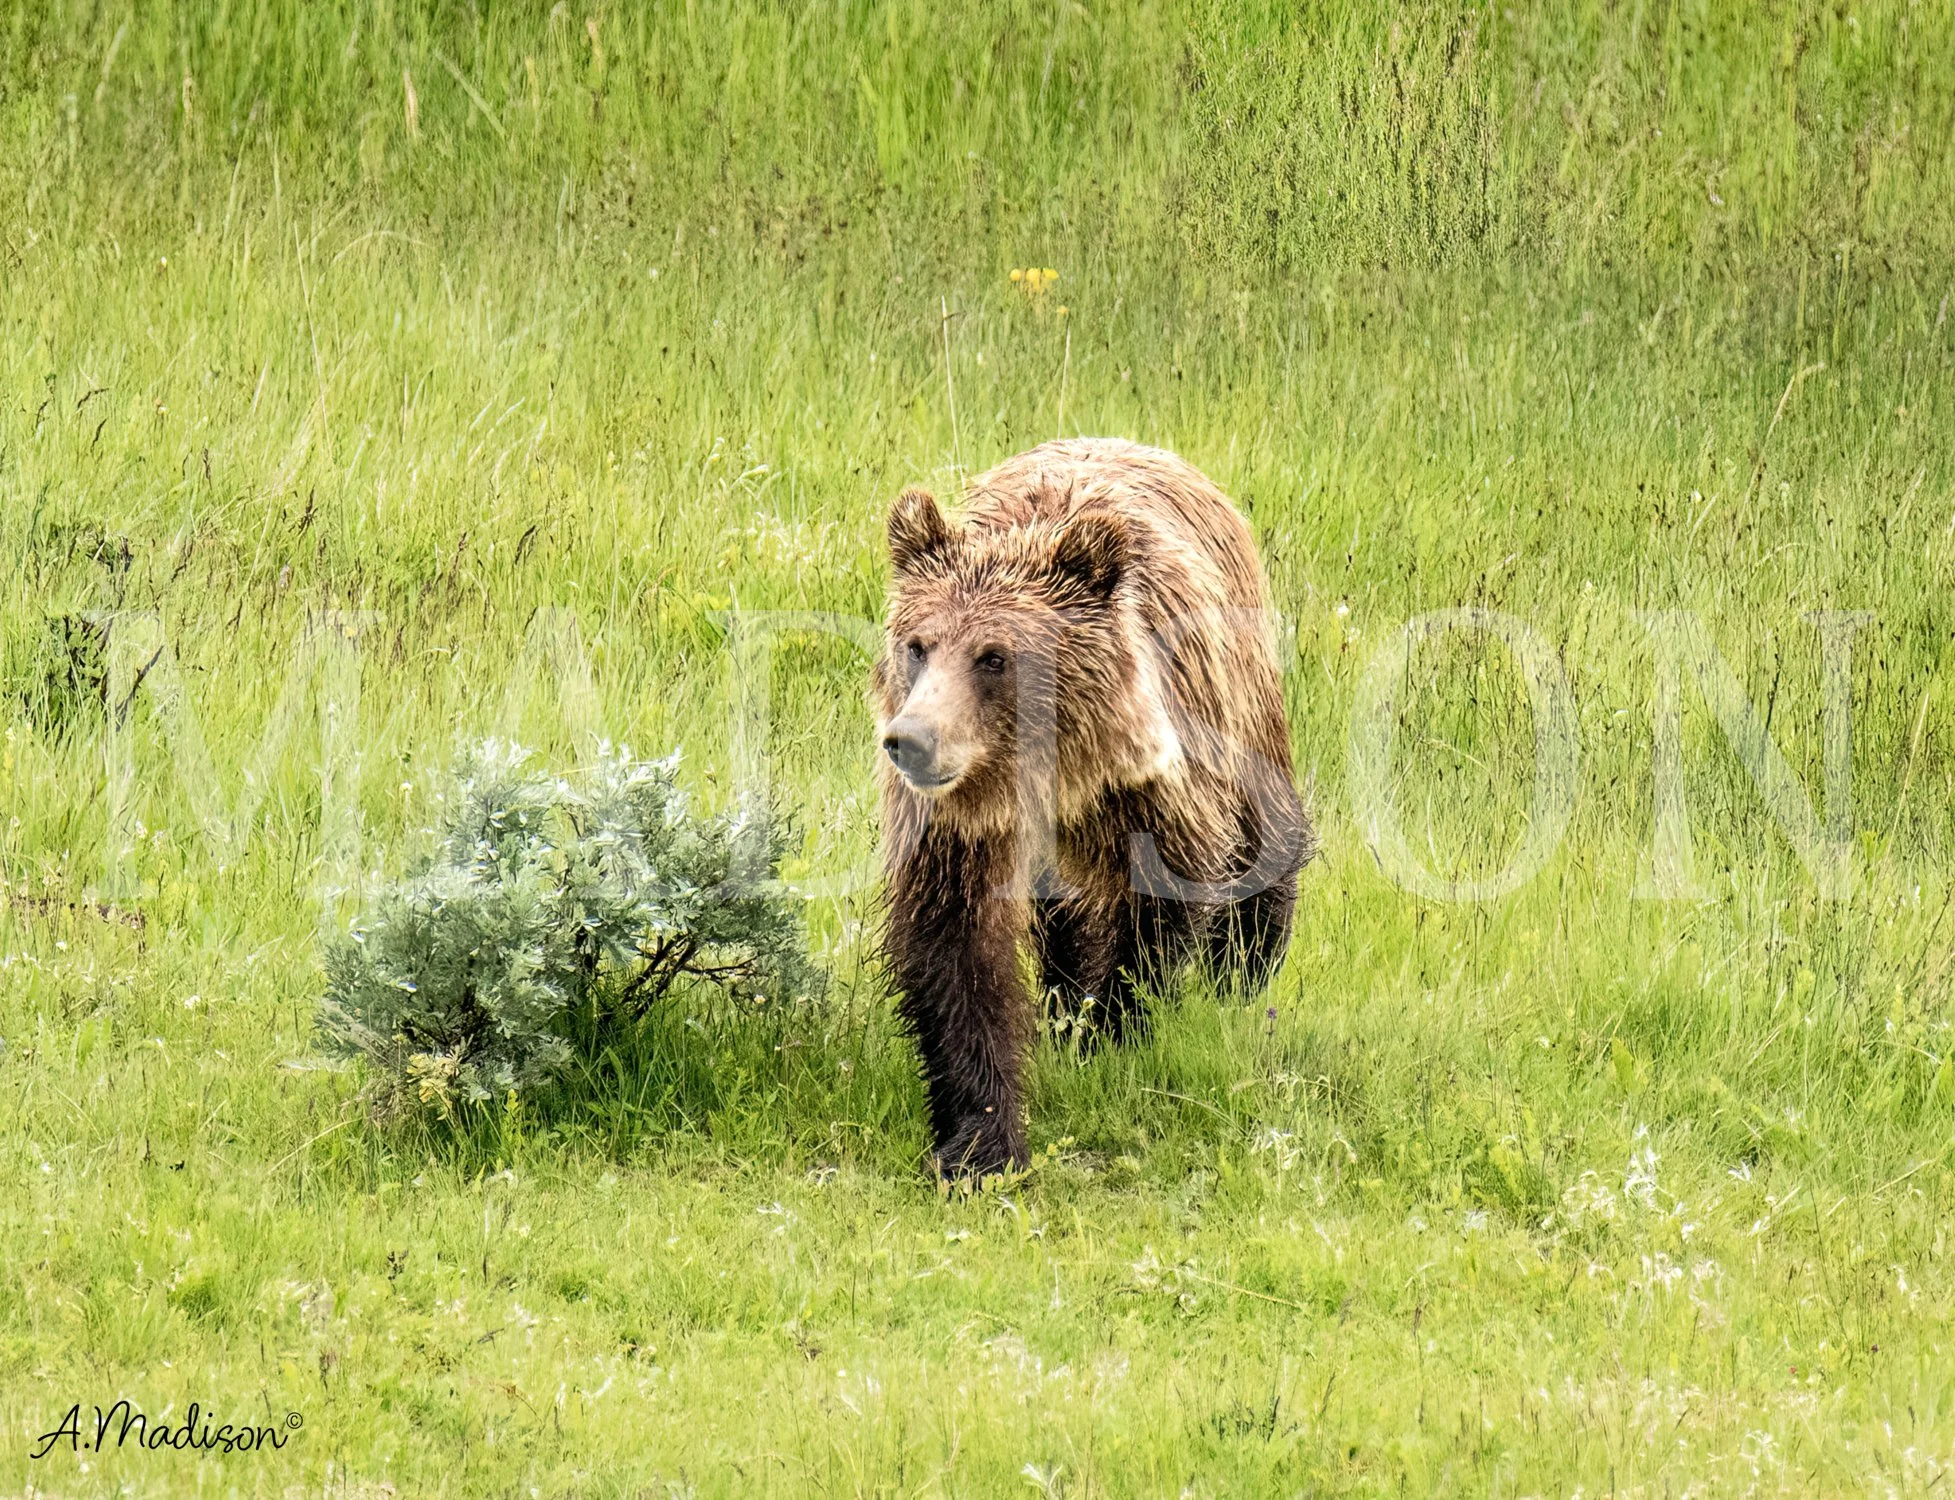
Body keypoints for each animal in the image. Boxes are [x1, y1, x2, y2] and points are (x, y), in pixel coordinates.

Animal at [873, 437, 1314, 1178]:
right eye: (917, 644)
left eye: (993, 656)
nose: (913, 740)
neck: (1049, 768)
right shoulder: (958, 825)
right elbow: (956, 946)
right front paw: (979, 1142)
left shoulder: (1154, 791)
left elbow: (1153, 917)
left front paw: (1111, 1035)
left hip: (1241, 696)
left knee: (1263, 842)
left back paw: (1242, 975)